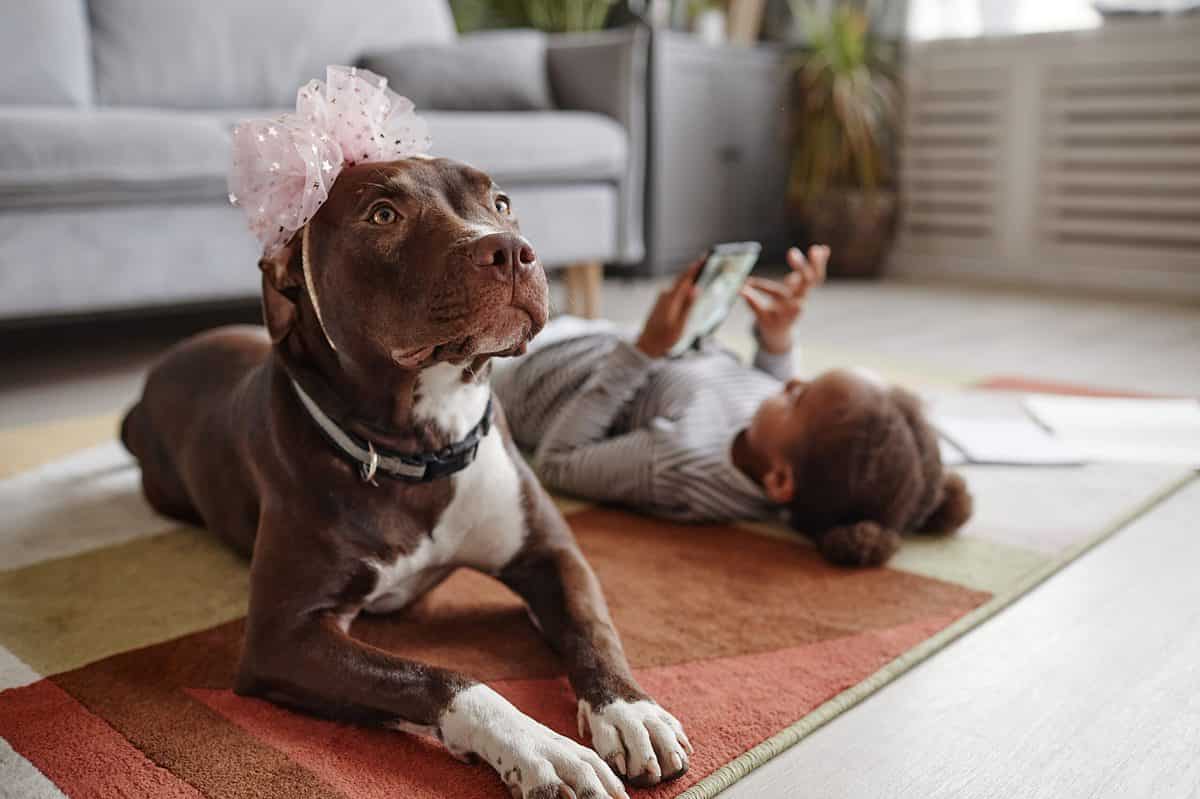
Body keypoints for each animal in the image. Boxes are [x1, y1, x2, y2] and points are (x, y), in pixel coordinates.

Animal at [120, 157, 691, 796]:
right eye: (383, 214)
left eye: (501, 202)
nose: (511, 251)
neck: (428, 445)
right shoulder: (282, 637)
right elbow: (440, 677)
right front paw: (542, 748)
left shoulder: (551, 554)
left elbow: (592, 627)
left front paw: (629, 709)